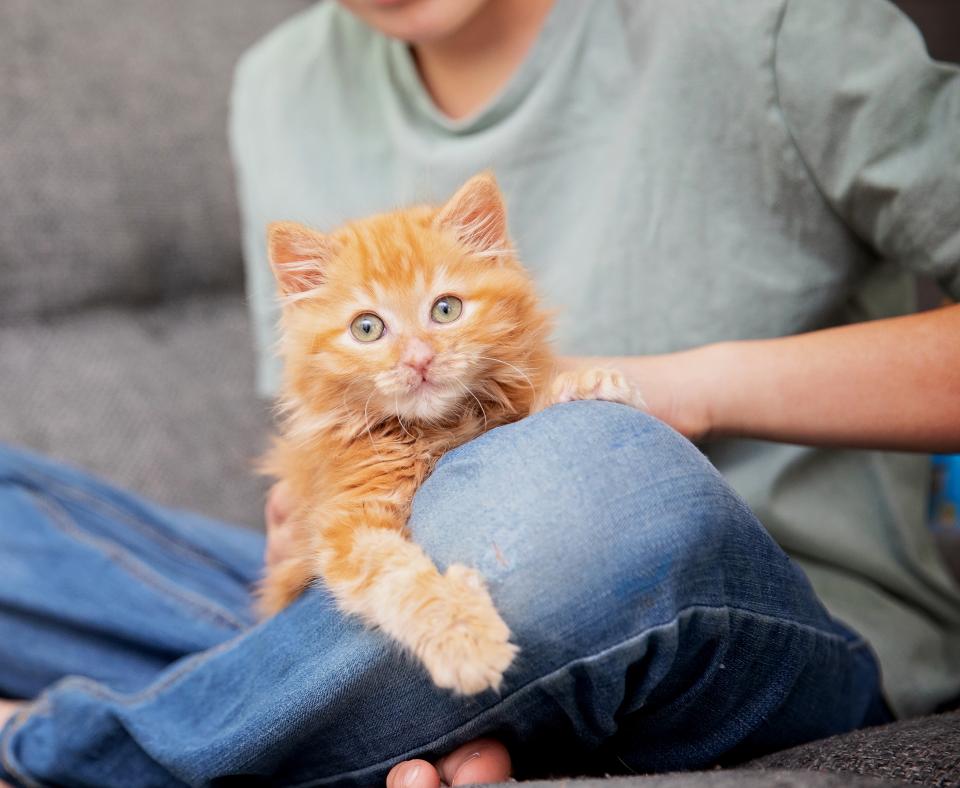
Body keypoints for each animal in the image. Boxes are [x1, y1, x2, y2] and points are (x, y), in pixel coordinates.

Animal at [258, 169, 640, 692]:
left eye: (445, 310)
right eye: (366, 328)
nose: (419, 360)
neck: (438, 429)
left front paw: (583, 384)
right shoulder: (346, 520)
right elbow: (395, 574)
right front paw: (461, 635)